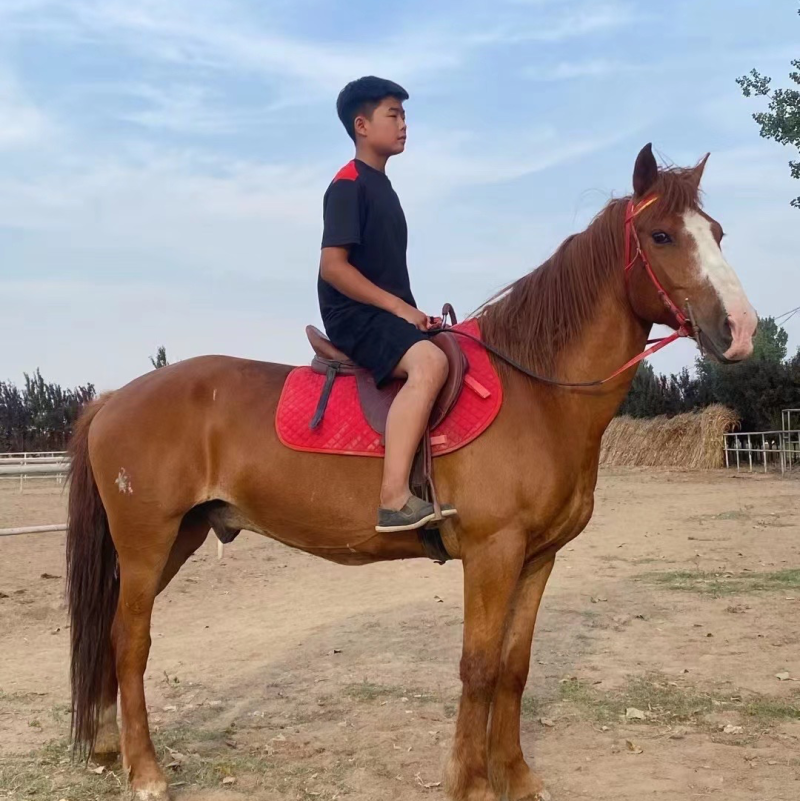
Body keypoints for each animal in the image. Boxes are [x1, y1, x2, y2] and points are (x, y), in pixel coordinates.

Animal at [66, 144, 757, 801]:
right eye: (662, 235)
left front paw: (517, 776)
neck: (537, 392)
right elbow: (479, 666)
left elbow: (514, 667)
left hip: (177, 539)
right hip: (148, 542)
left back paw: (109, 747)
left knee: (112, 637)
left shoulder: (538, 557)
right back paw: (146, 772)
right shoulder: (492, 551)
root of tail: (113, 398)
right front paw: (471, 783)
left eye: (719, 233)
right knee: (131, 642)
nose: (742, 329)